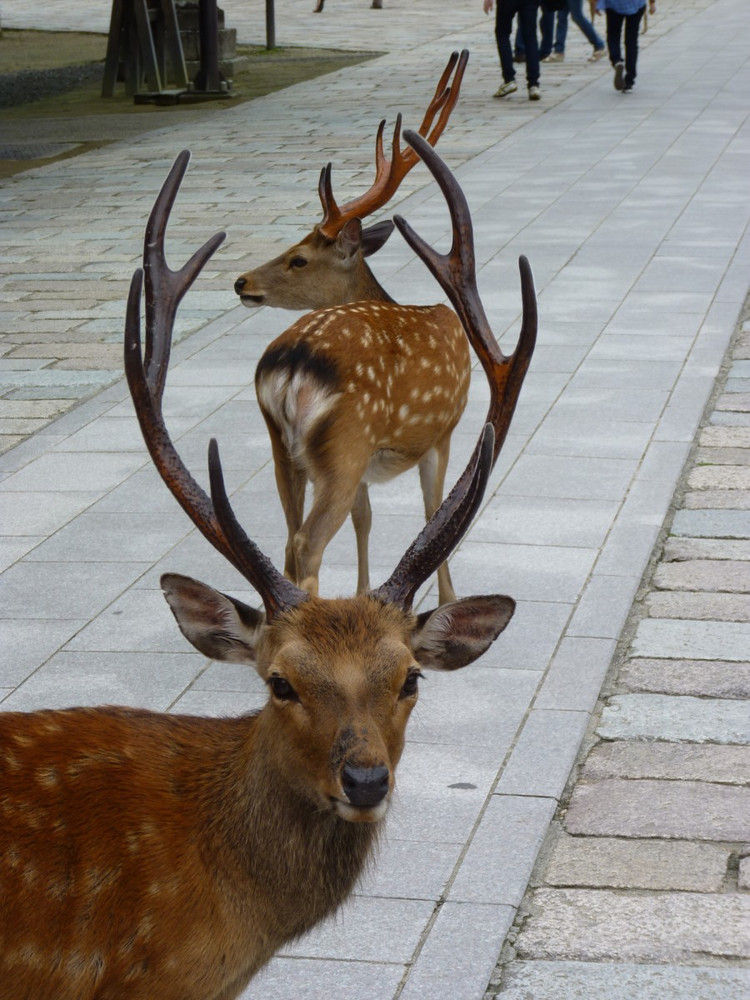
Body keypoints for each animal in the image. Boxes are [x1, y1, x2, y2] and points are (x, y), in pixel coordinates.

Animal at [233, 51, 534, 604]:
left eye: (298, 258)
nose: (241, 281)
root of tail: (292, 366)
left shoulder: (377, 465)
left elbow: (366, 519)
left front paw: (363, 594)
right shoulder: (443, 431)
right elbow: (433, 512)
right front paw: (447, 600)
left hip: (285, 447)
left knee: (287, 537)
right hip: (344, 441)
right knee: (306, 541)